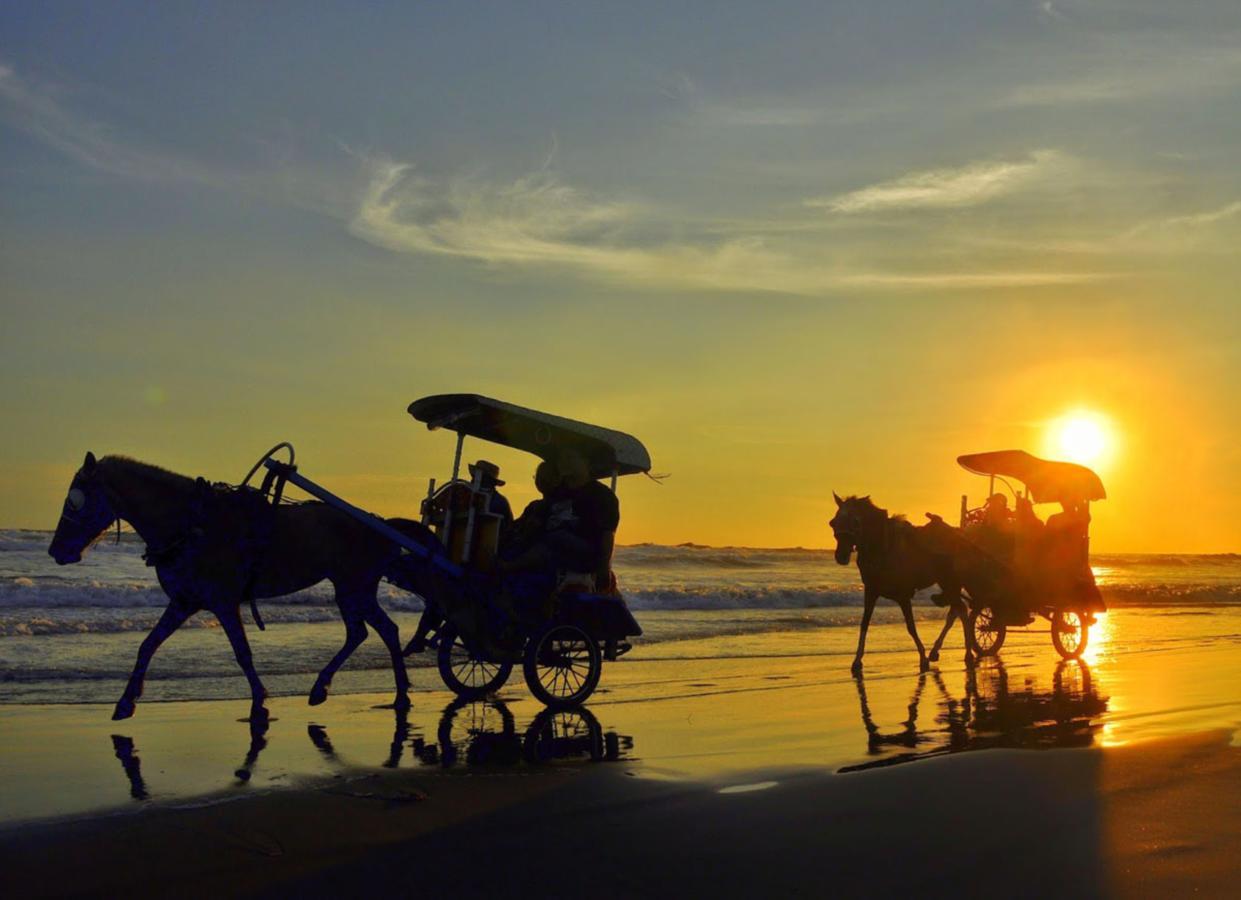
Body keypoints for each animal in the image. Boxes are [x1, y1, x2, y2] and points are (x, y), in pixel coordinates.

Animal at [47, 451, 436, 720]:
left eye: (74, 501)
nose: (56, 551)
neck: (191, 523)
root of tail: (380, 523)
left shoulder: (222, 602)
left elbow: (242, 652)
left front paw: (260, 702)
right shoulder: (184, 601)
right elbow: (147, 645)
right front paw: (126, 701)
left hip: (353, 587)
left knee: (372, 630)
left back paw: (377, 691)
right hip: (353, 589)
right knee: (372, 631)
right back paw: (361, 689)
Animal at [828, 491, 972, 675]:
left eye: (855, 521)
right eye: (833, 522)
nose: (841, 556)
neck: (883, 548)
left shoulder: (903, 595)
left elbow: (911, 626)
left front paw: (923, 657)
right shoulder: (871, 591)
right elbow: (864, 623)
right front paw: (857, 660)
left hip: (950, 582)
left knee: (960, 610)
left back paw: (965, 653)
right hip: (947, 583)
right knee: (958, 610)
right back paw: (942, 651)